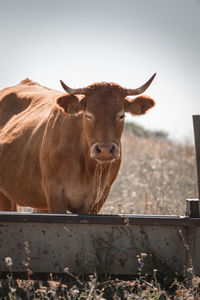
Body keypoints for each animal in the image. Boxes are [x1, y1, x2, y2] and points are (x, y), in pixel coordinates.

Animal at [0, 75, 156, 216]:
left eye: (121, 115)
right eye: (88, 115)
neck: (88, 169)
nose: (105, 150)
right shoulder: (54, 195)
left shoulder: (98, 200)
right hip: (5, 197)